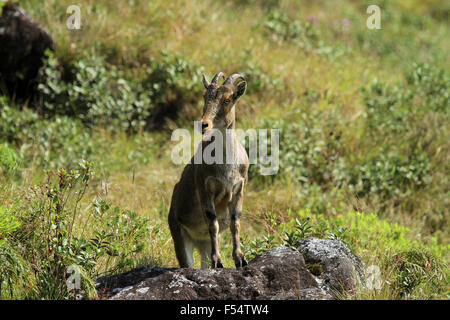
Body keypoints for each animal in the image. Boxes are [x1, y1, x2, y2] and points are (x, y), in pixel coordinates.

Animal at [168, 72, 248, 268]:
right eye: (205, 96)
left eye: (227, 99)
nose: (204, 124)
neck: (226, 166)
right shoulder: (205, 189)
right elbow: (213, 222)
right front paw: (218, 261)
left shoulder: (239, 188)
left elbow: (235, 222)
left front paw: (240, 258)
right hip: (180, 236)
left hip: (203, 244)